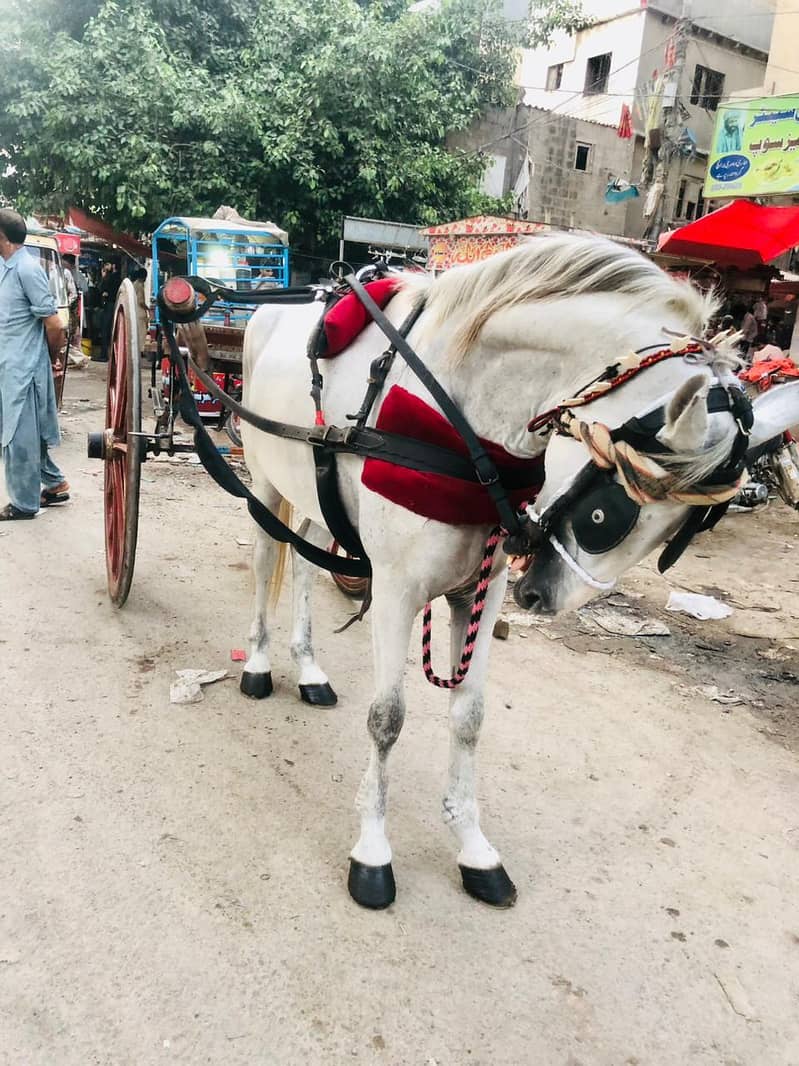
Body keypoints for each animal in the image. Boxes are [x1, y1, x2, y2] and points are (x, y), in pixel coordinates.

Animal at [237, 233, 799, 910]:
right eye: (606, 513)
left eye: (672, 539)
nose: (544, 596)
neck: (461, 417)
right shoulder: (398, 588)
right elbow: (387, 718)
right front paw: (372, 849)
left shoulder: (483, 588)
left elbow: (470, 717)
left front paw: (472, 846)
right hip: (265, 478)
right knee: (267, 558)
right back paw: (259, 662)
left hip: (315, 497)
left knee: (301, 565)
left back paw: (309, 667)